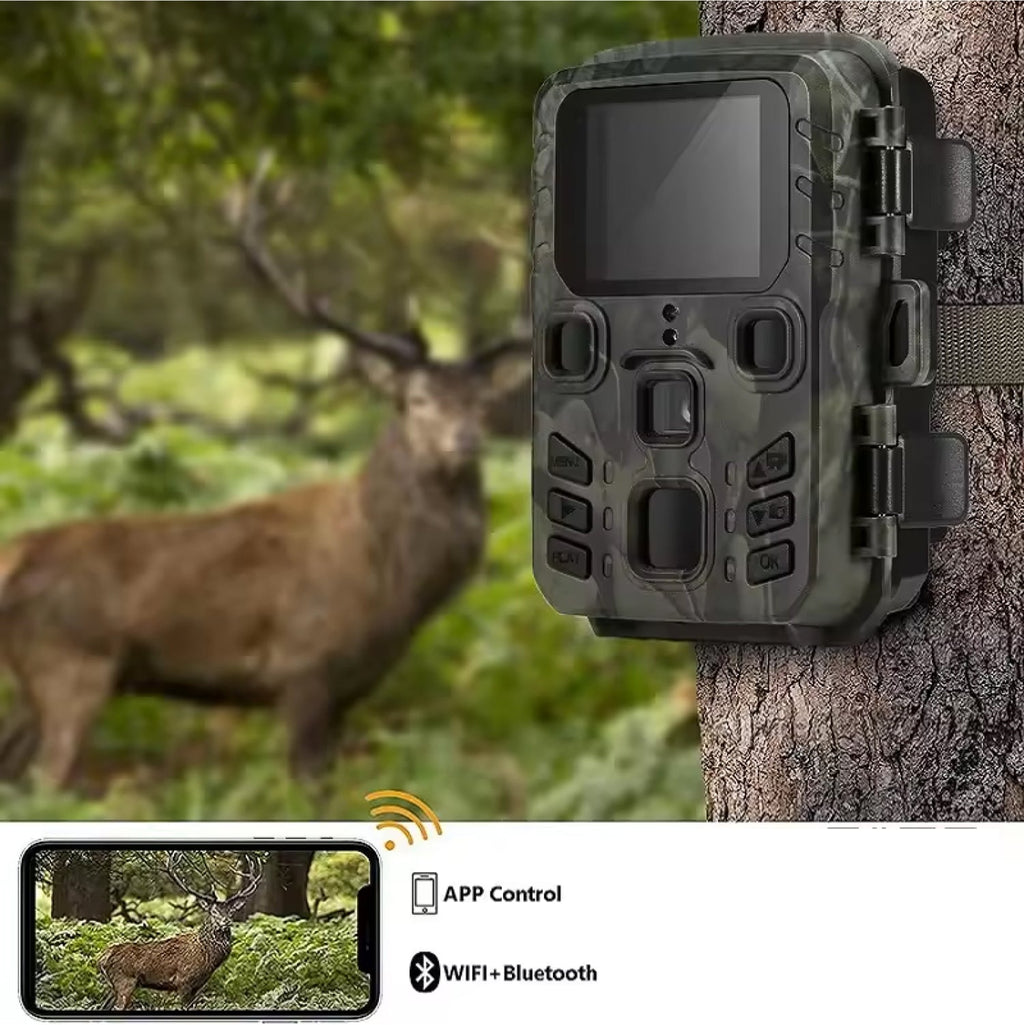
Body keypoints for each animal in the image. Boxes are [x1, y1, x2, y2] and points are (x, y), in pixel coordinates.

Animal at [0, 160, 530, 787]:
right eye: (416, 399)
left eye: (484, 401)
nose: (465, 439)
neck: (391, 583)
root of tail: (11, 558)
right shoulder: (303, 668)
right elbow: (305, 787)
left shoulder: (349, 691)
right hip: (70, 665)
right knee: (45, 783)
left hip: (32, 684)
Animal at [98, 851, 263, 1011]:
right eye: (214, 912)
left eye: (231, 912)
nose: (226, 921)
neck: (207, 957)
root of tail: (102, 958)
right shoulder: (184, 981)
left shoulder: (198, 986)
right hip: (125, 982)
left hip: (113, 987)